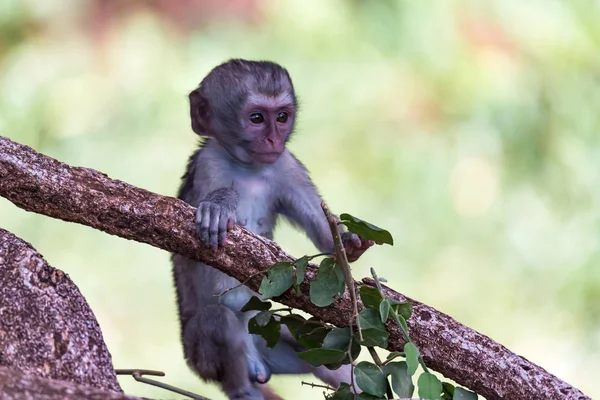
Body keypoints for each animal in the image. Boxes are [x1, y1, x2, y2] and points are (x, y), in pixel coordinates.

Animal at [171, 59, 372, 400]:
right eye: (256, 118)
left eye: (281, 117)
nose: (274, 140)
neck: (248, 168)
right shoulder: (209, 163)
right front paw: (219, 207)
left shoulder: (286, 165)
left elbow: (324, 234)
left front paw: (348, 242)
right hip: (201, 355)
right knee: (217, 319)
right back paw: (242, 390)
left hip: (268, 334)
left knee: (316, 345)